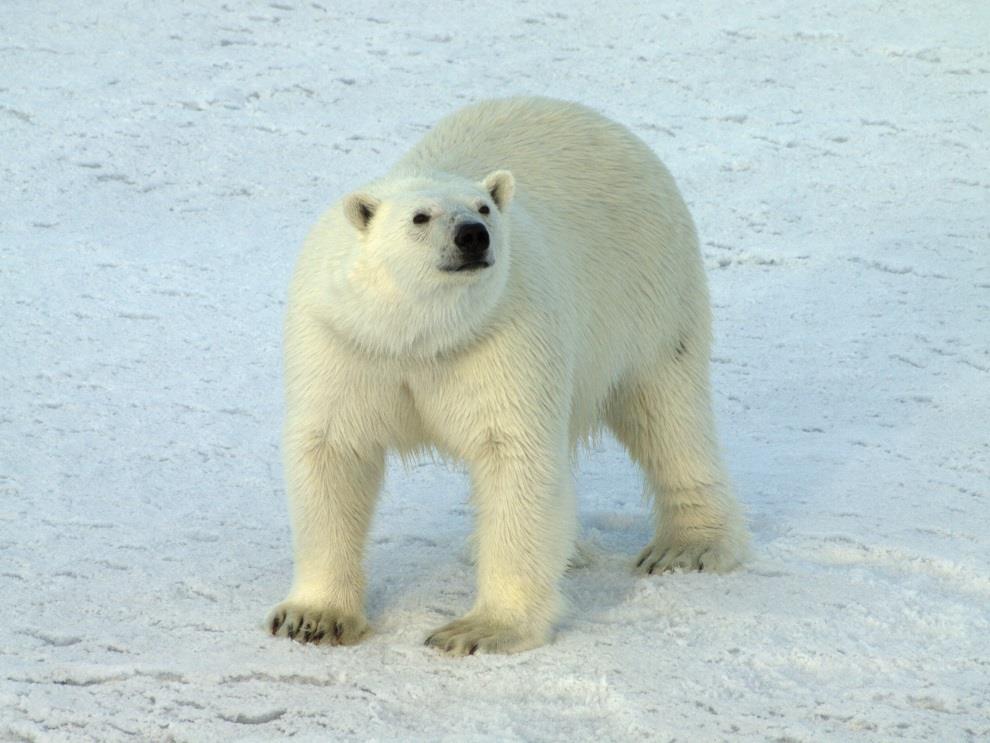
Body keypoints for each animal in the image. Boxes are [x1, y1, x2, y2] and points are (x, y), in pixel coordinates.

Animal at [268, 96, 748, 652]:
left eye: (485, 208)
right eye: (420, 216)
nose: (473, 236)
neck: (419, 336)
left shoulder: (503, 334)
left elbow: (515, 455)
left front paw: (478, 629)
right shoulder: (346, 342)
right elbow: (333, 452)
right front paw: (312, 618)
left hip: (649, 285)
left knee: (667, 411)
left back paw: (687, 547)